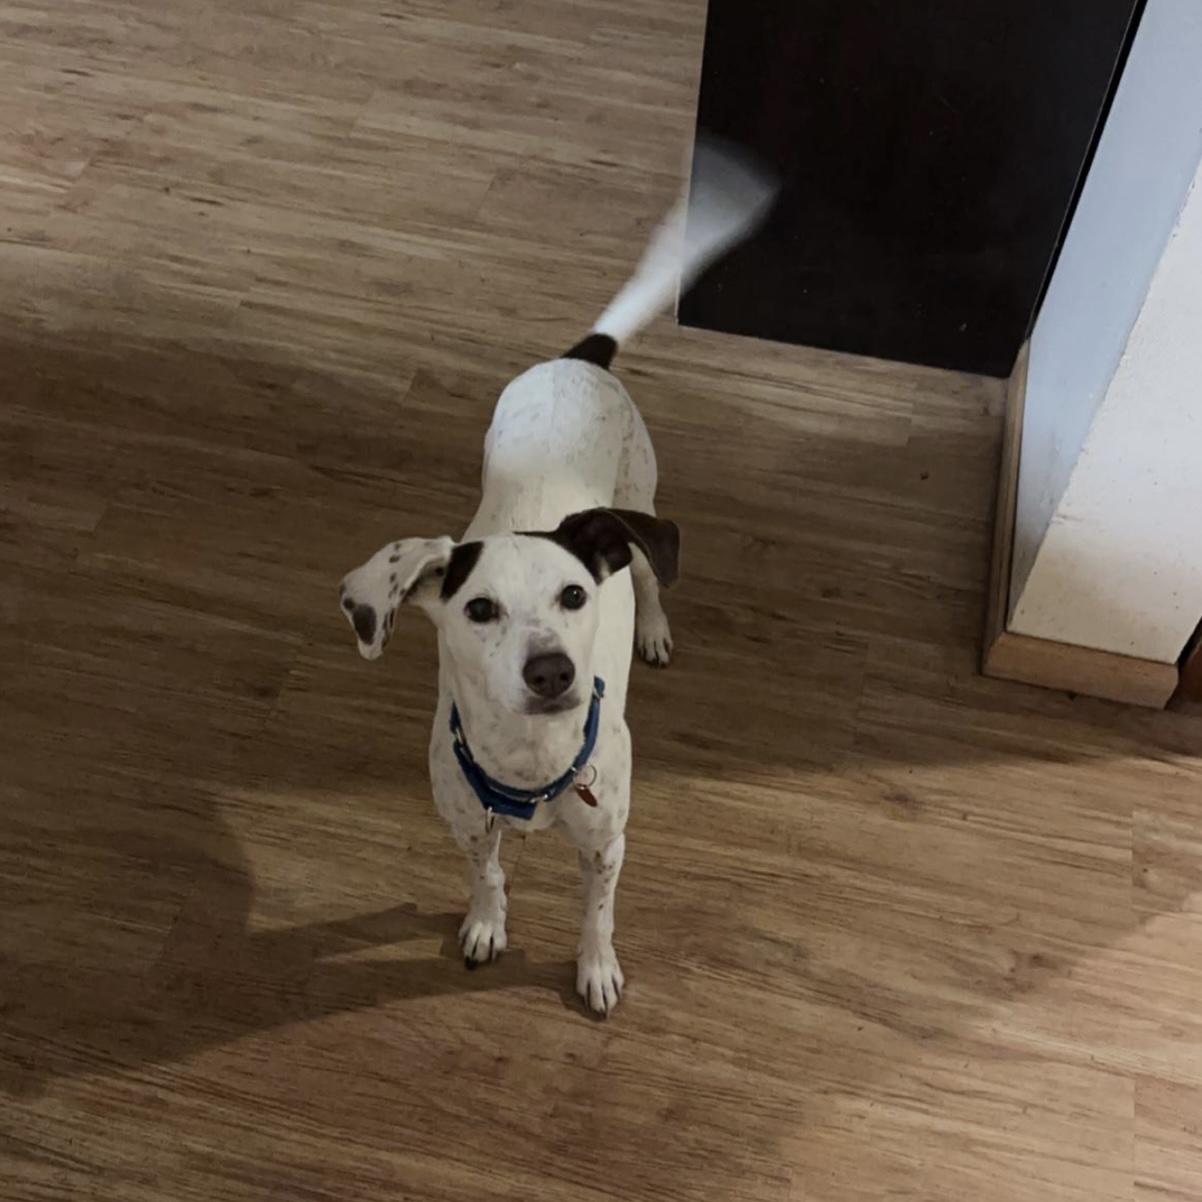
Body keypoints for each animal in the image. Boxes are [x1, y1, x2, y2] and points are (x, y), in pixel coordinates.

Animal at [341, 140, 769, 1014]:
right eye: (478, 610)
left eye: (574, 595)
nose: (551, 671)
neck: (531, 768)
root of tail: (579, 359)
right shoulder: (468, 824)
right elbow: (486, 876)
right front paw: (485, 923)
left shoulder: (607, 845)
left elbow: (596, 914)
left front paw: (595, 969)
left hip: (640, 500)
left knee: (650, 572)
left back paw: (654, 629)